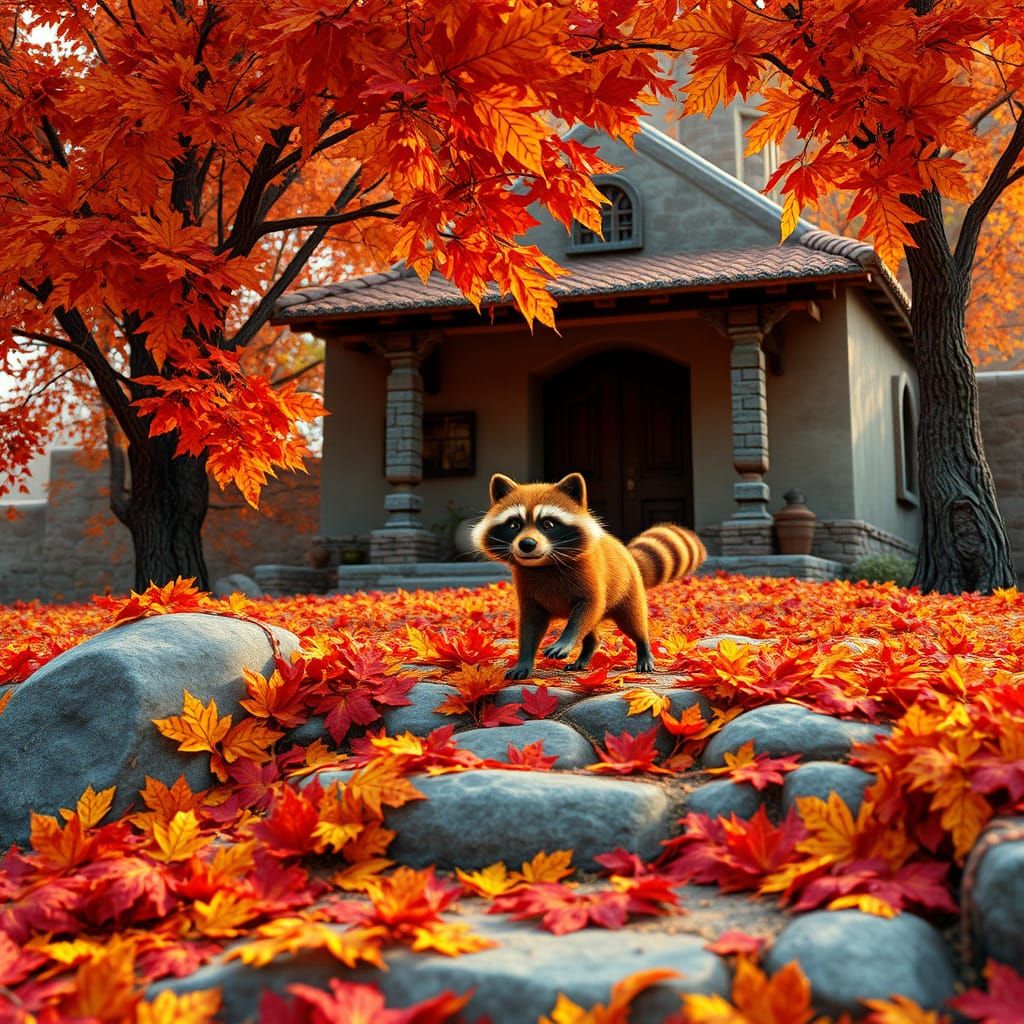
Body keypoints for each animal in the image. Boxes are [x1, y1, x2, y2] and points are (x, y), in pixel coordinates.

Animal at [472, 472, 706, 679]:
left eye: (548, 524)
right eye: (514, 525)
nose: (527, 544)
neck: (545, 565)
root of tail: (627, 554)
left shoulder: (591, 575)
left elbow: (588, 608)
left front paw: (566, 639)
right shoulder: (529, 593)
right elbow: (530, 628)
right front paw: (524, 661)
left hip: (628, 591)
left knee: (633, 621)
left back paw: (643, 648)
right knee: (593, 633)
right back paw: (585, 655)